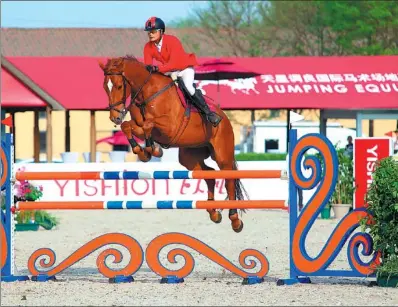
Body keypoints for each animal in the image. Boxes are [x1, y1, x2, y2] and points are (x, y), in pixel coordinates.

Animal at [99, 56, 247, 233]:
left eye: (119, 86)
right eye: (105, 87)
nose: (115, 117)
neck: (146, 94)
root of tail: (224, 118)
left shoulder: (169, 127)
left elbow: (148, 124)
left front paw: (153, 150)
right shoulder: (139, 126)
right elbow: (128, 126)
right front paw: (144, 152)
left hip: (222, 154)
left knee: (229, 180)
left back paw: (235, 220)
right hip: (189, 157)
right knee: (209, 175)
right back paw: (214, 213)